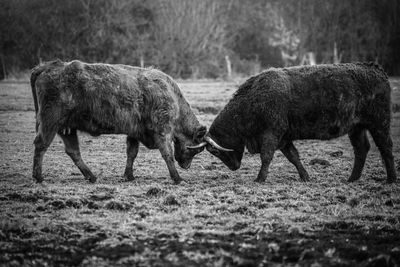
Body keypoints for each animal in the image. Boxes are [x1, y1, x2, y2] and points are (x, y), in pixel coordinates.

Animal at [30, 59, 206, 184]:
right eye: (196, 149)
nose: (186, 166)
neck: (172, 95)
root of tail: (49, 66)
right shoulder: (162, 131)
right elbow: (167, 154)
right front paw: (178, 178)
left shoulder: (135, 132)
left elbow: (132, 153)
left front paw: (129, 176)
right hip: (50, 121)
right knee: (41, 144)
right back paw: (39, 177)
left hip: (66, 128)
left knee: (73, 151)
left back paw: (92, 177)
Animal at [191, 63, 396, 184]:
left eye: (215, 151)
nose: (234, 167)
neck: (252, 100)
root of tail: (376, 70)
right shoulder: (284, 138)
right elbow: (293, 157)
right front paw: (305, 177)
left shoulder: (272, 133)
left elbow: (266, 156)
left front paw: (260, 178)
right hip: (356, 127)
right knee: (361, 149)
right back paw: (352, 179)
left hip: (379, 123)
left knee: (385, 147)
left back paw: (391, 179)